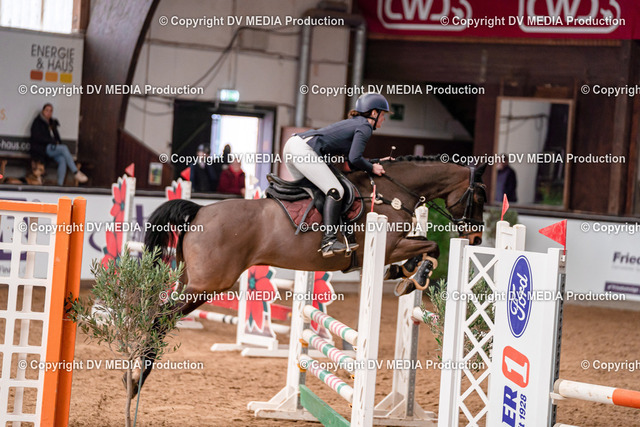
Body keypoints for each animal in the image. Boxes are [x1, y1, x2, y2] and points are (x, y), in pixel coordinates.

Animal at [129, 156, 487, 395]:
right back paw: (135, 378)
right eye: (481, 195)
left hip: (190, 280)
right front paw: (412, 274)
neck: (392, 192)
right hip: (207, 284)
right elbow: (432, 247)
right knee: (161, 318)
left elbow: (425, 247)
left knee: (159, 313)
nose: (475, 239)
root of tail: (200, 211)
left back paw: (136, 374)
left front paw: (405, 273)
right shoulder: (387, 245)